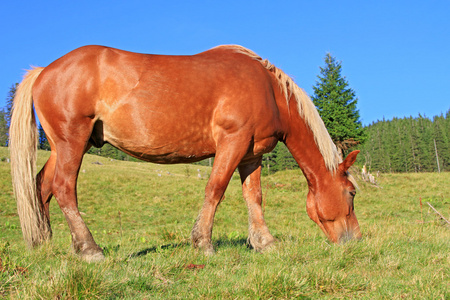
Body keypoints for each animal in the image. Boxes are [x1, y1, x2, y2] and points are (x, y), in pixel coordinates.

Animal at [9, 43, 362, 262]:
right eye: (351, 192)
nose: (355, 239)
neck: (269, 89)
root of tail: (43, 70)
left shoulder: (252, 154)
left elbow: (254, 197)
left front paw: (265, 242)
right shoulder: (232, 142)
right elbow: (215, 189)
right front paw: (203, 243)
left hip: (65, 146)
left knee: (42, 186)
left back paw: (46, 243)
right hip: (73, 142)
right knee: (64, 188)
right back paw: (89, 249)